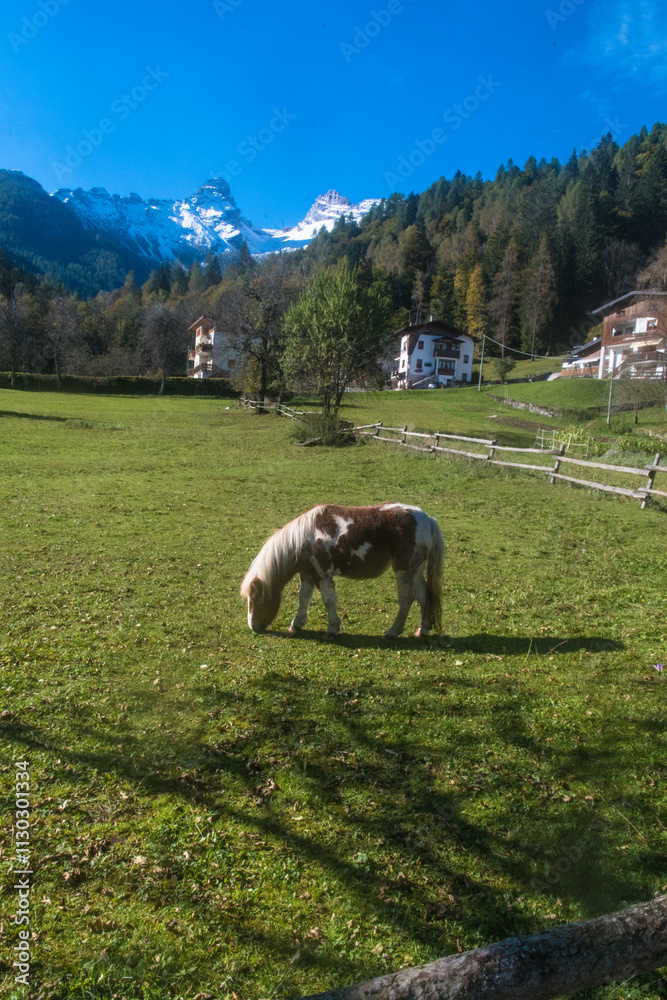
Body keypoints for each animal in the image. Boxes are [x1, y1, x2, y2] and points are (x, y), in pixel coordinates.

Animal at [240, 503, 444, 638]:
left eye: (256, 599)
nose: (253, 626)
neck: (303, 539)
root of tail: (428, 520)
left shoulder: (322, 576)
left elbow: (329, 601)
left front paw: (332, 629)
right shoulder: (307, 574)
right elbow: (303, 599)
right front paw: (296, 624)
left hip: (405, 572)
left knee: (406, 600)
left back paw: (393, 631)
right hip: (415, 571)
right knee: (423, 596)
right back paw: (423, 629)